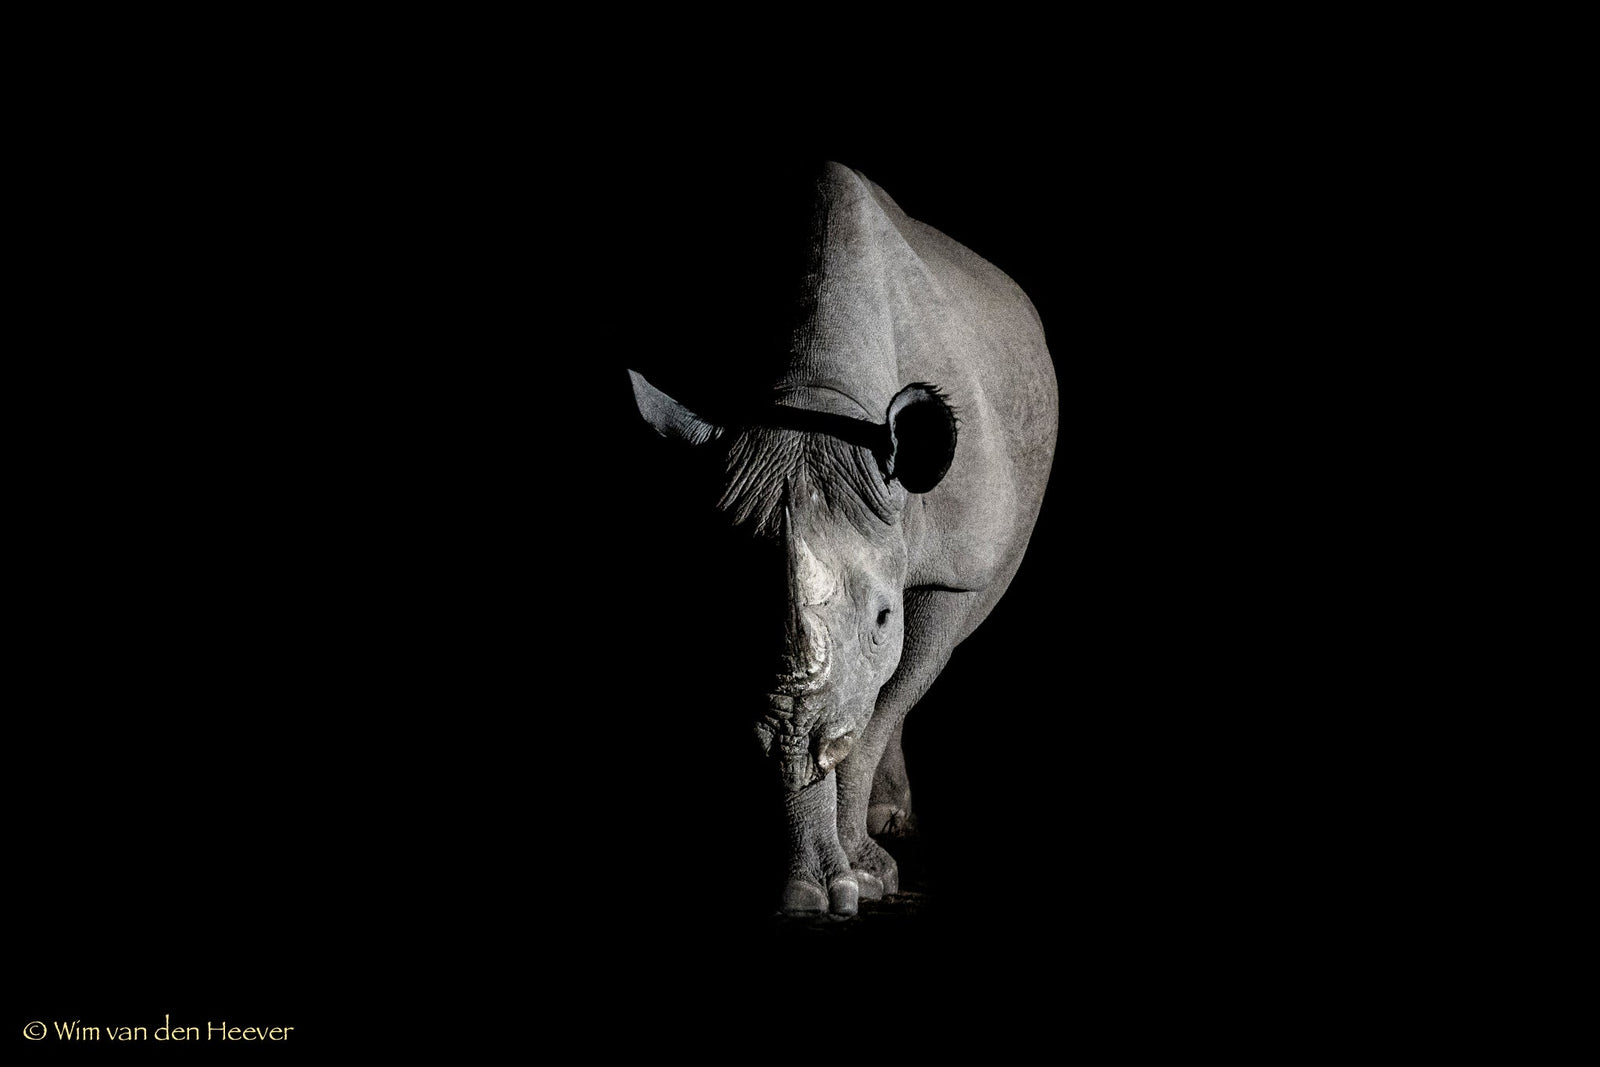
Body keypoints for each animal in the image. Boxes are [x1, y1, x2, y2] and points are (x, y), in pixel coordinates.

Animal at [627, 161, 1057, 917]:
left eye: (884, 617)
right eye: (729, 608)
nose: (794, 731)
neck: (817, 398)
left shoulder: (952, 574)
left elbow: (880, 705)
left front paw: (865, 875)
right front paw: (809, 890)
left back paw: (886, 823)